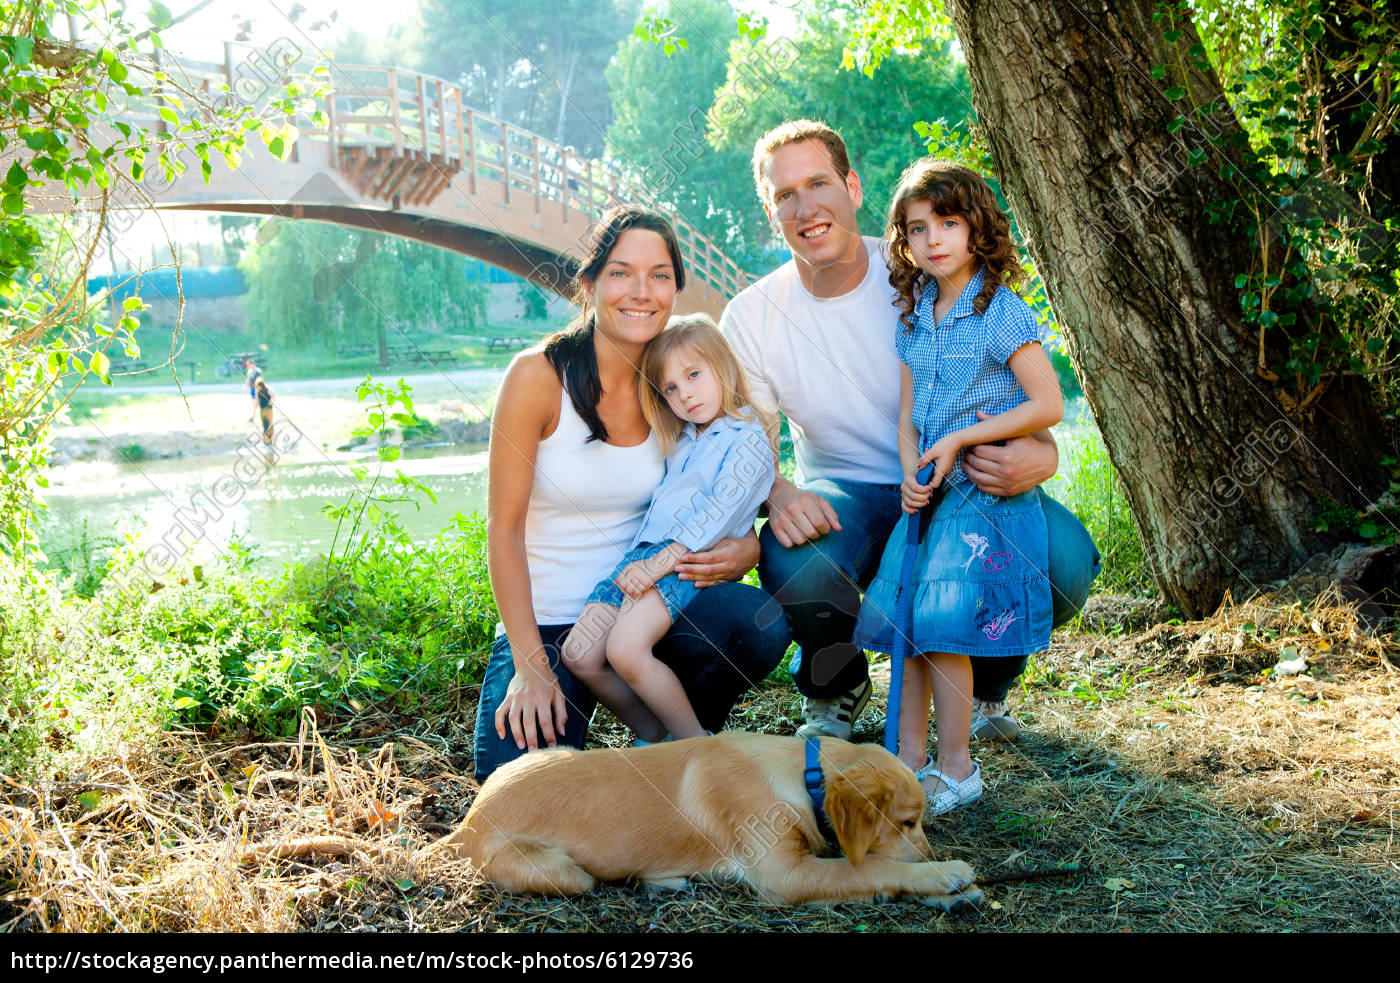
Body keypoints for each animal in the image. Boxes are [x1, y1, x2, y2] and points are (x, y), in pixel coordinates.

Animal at [442, 733, 980, 912]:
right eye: (907, 823)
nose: (931, 853)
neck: (797, 774)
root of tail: (466, 821)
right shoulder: (783, 876)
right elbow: (868, 867)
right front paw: (945, 874)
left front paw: (955, 892)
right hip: (567, 873)